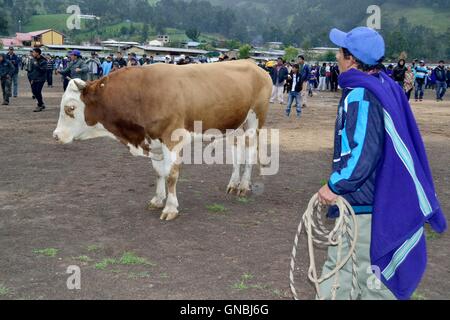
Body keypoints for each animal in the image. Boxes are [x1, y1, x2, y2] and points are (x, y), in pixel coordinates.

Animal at [51, 60, 270, 220]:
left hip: (254, 121)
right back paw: (233, 183)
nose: (56, 136)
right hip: (235, 125)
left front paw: (171, 208)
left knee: (250, 151)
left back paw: (244, 186)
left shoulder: (172, 139)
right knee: (237, 151)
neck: (142, 93)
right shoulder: (153, 142)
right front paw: (158, 199)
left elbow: (171, 175)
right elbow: (158, 173)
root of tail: (253, 64)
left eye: (70, 108)